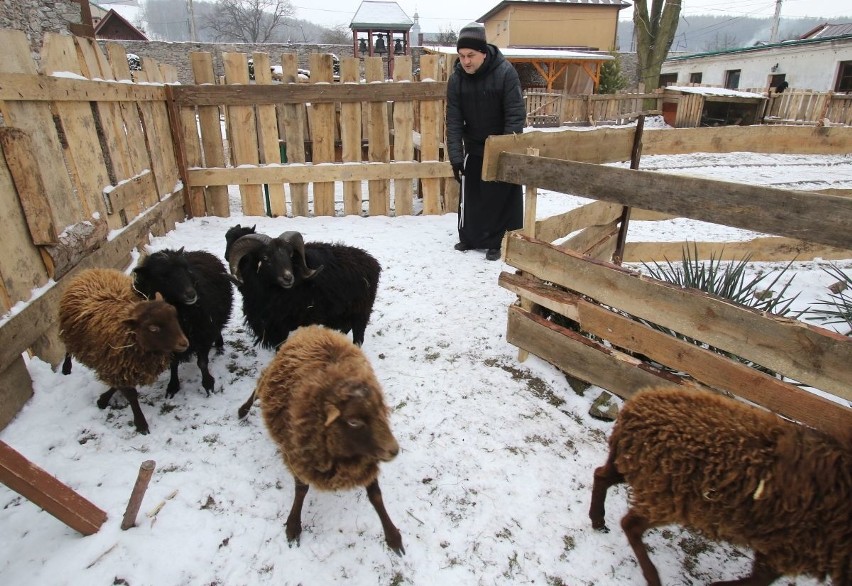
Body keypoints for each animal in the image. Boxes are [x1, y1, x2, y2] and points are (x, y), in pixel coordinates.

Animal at [60, 266, 191, 432]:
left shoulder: (119, 366)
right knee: (67, 349)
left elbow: (117, 386)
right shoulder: (115, 364)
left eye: (175, 316)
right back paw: (66, 368)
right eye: (153, 328)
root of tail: (88, 270)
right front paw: (141, 425)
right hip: (69, 332)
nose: (184, 343)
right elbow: (131, 395)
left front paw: (102, 400)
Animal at [133, 246, 235, 396]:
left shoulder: (203, 332)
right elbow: (173, 364)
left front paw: (208, 384)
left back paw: (219, 345)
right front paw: (173, 385)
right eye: (163, 275)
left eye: (185, 269)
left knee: (218, 329)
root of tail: (202, 252)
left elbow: (202, 363)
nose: (191, 294)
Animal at [230, 227, 382, 346]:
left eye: (290, 255)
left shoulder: (283, 326)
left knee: (358, 337)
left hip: (361, 311)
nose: (288, 278)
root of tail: (372, 261)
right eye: (265, 258)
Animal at [236, 324, 402, 552]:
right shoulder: (298, 454)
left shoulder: (366, 456)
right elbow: (301, 489)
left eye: (381, 411)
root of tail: (313, 328)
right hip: (269, 381)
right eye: (353, 421)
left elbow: (375, 494)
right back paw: (242, 410)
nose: (394, 450)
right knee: (257, 388)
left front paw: (393, 537)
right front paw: (293, 525)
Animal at [588, 384, 848, 584]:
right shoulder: (790, 547)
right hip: (666, 494)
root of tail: (634, 407)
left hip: (637, 468)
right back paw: (653, 577)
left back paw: (598, 521)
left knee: (601, 476)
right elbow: (759, 579)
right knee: (630, 524)